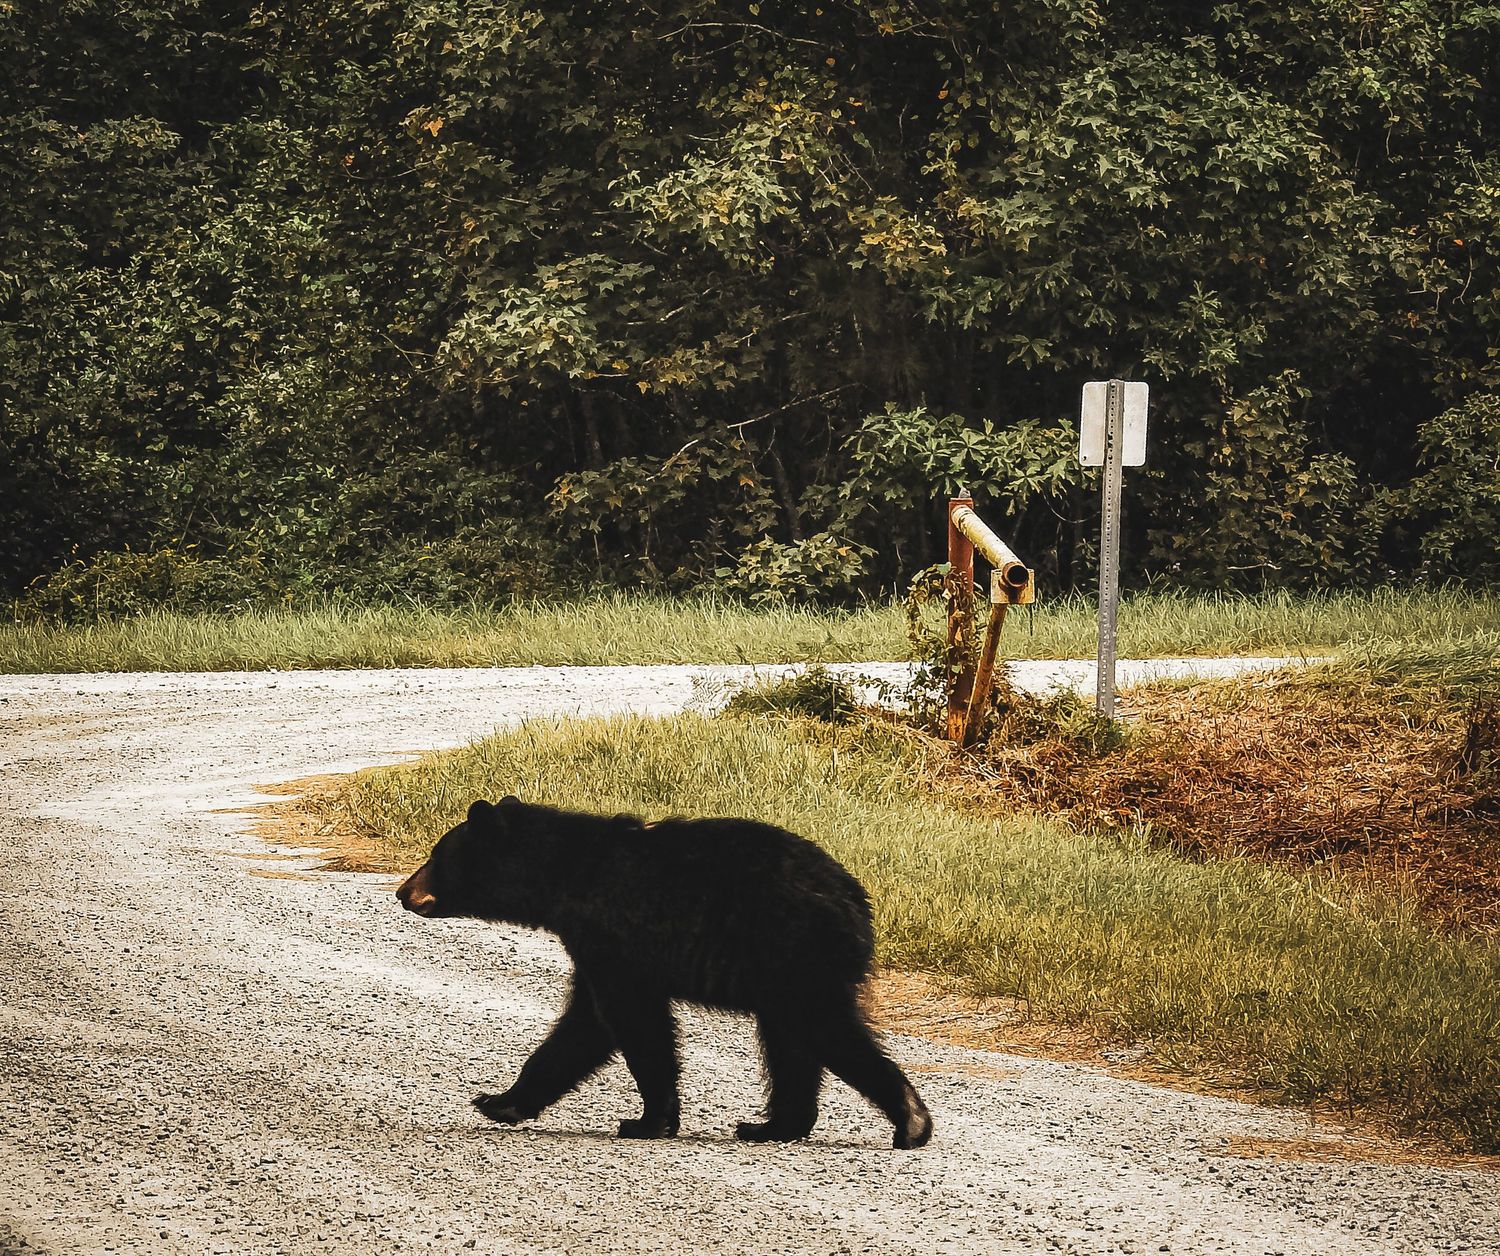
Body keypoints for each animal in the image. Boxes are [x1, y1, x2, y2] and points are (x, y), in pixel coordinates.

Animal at [396, 796, 933, 1149]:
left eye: (435, 855)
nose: (403, 891)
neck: (566, 877)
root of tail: (857, 903)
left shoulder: (614, 937)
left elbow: (629, 1022)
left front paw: (647, 1121)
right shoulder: (595, 945)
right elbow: (585, 1024)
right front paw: (501, 1100)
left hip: (796, 955)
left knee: (824, 1031)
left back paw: (910, 1121)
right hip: (785, 974)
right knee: (791, 1046)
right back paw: (771, 1126)